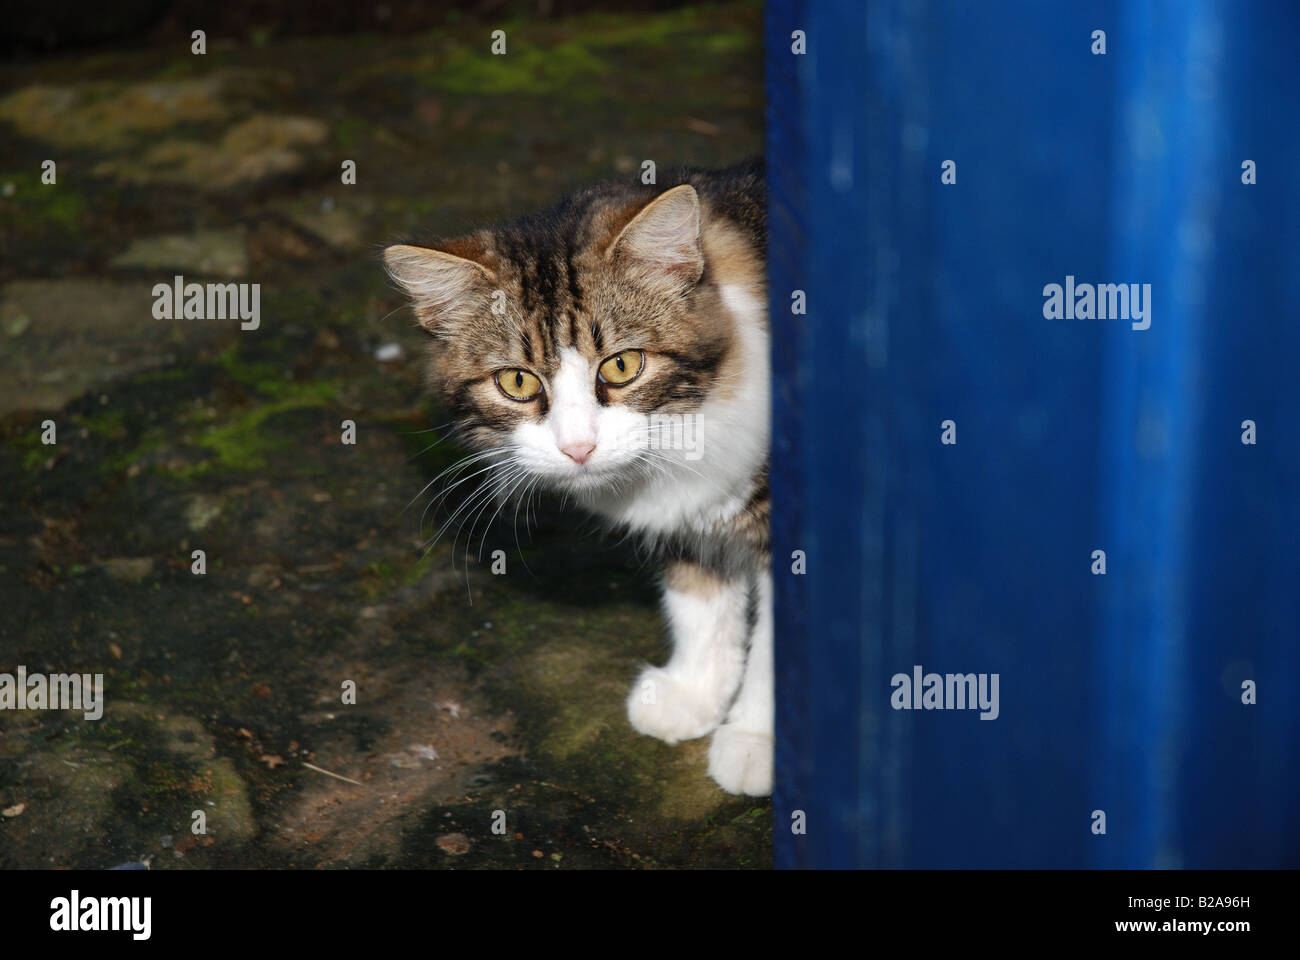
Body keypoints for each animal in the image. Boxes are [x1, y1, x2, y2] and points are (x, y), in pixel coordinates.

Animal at [384, 158, 769, 790]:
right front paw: (693, 695)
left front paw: (756, 739)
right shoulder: (693, 523)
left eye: (623, 365)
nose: (578, 448)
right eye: (516, 381)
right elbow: (701, 604)